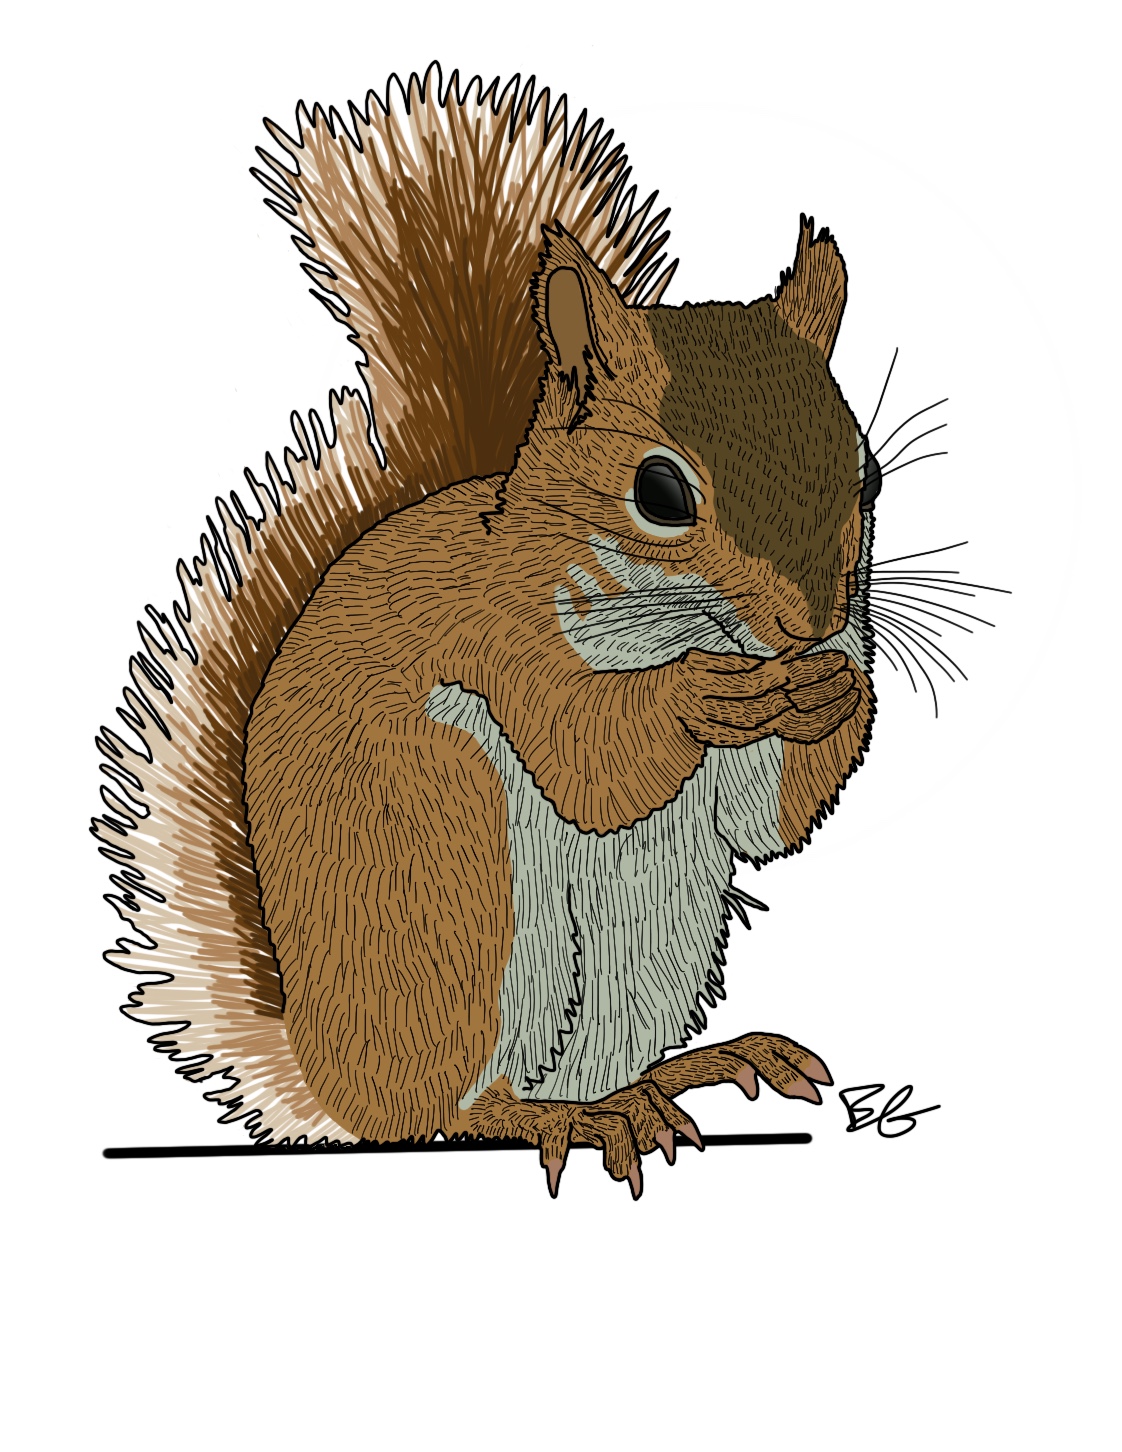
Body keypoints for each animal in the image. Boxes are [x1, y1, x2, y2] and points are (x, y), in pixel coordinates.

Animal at [93, 65, 881, 1197]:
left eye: (868, 474)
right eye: (660, 492)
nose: (808, 624)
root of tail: (333, 1090)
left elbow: (760, 821)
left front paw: (838, 688)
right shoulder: (497, 636)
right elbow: (591, 761)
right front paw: (701, 695)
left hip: (653, 939)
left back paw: (685, 1071)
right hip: (455, 867)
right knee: (454, 1113)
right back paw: (569, 1115)